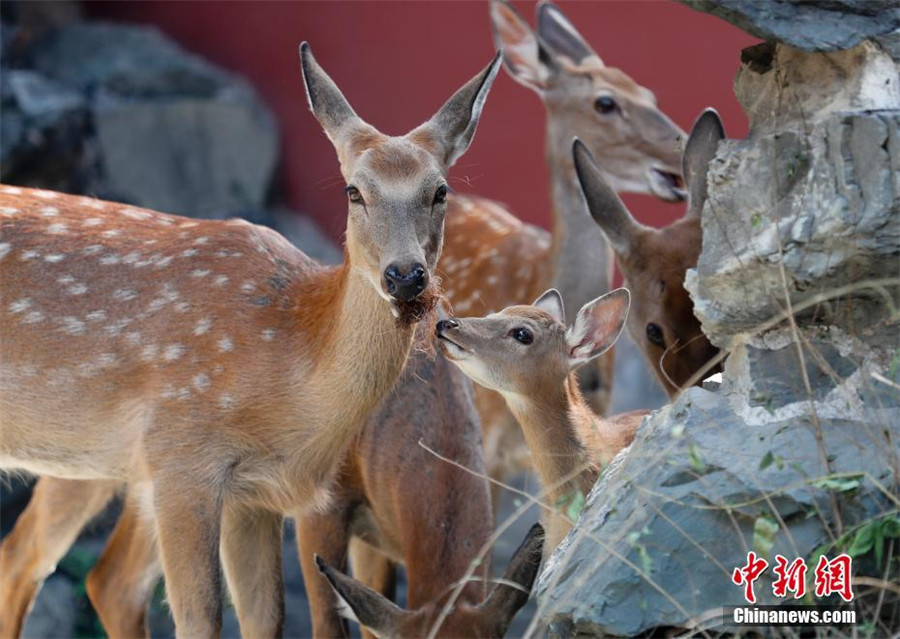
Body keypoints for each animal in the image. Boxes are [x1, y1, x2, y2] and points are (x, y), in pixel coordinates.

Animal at [0, 42, 501, 638]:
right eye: (354, 191)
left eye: (440, 191)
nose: (406, 276)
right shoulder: (180, 458)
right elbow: (201, 618)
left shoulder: (255, 495)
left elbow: (266, 618)